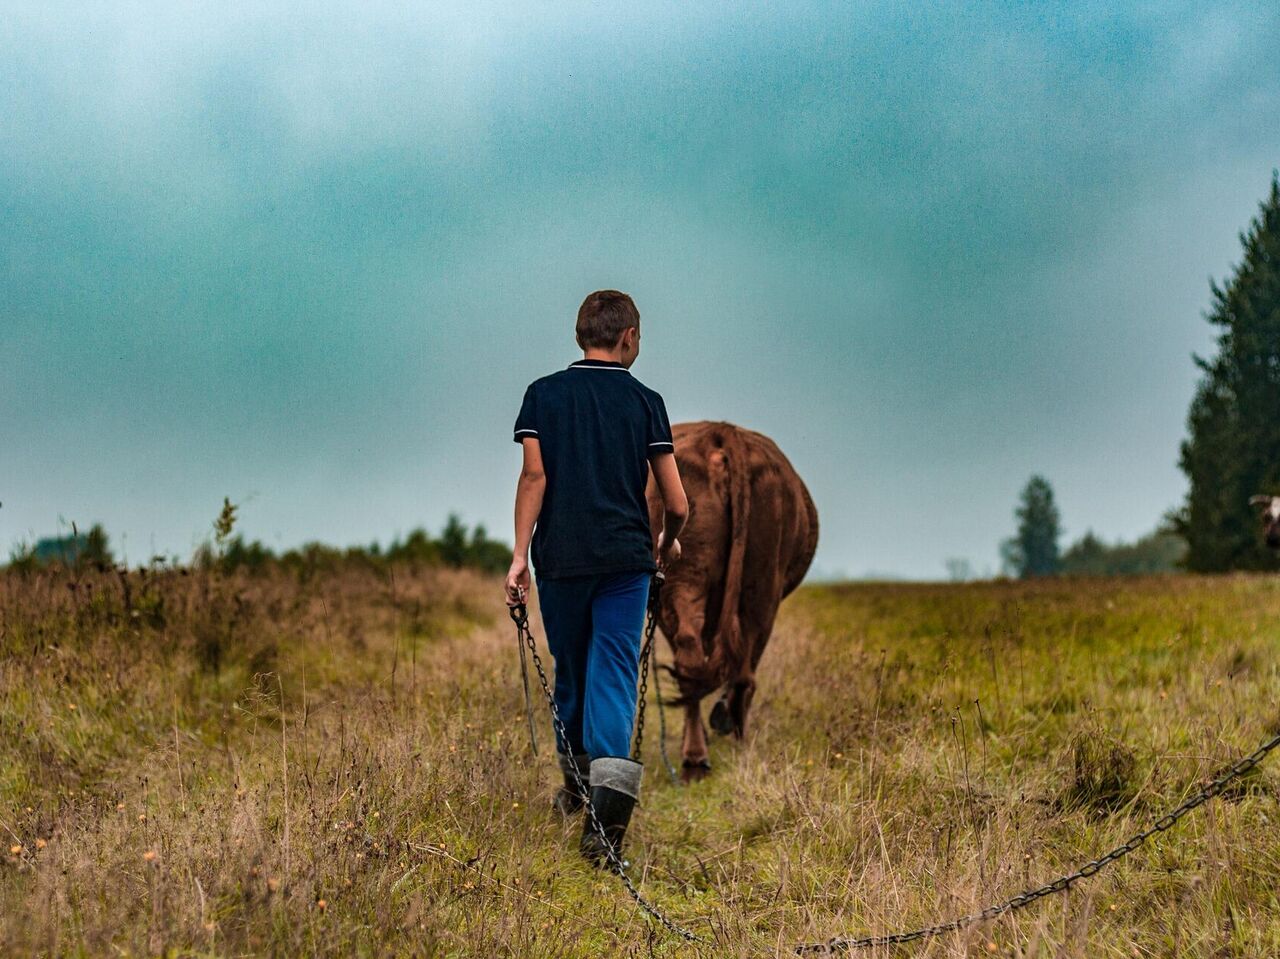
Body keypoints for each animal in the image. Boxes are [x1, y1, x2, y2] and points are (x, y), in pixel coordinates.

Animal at [645, 419, 814, 778]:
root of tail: (721, 433)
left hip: (694, 580)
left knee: (699, 660)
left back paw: (698, 754)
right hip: (760, 587)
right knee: (735, 668)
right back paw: (725, 739)